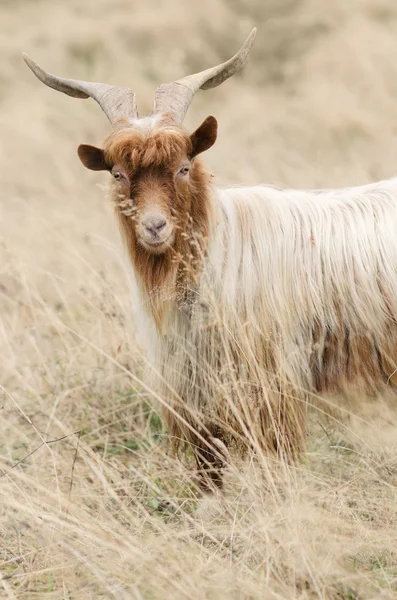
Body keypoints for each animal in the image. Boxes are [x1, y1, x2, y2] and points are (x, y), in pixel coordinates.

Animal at [24, 29, 397, 488]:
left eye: (184, 167)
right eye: (118, 174)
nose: (154, 227)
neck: (217, 253)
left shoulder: (269, 391)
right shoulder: (198, 399)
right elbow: (208, 473)